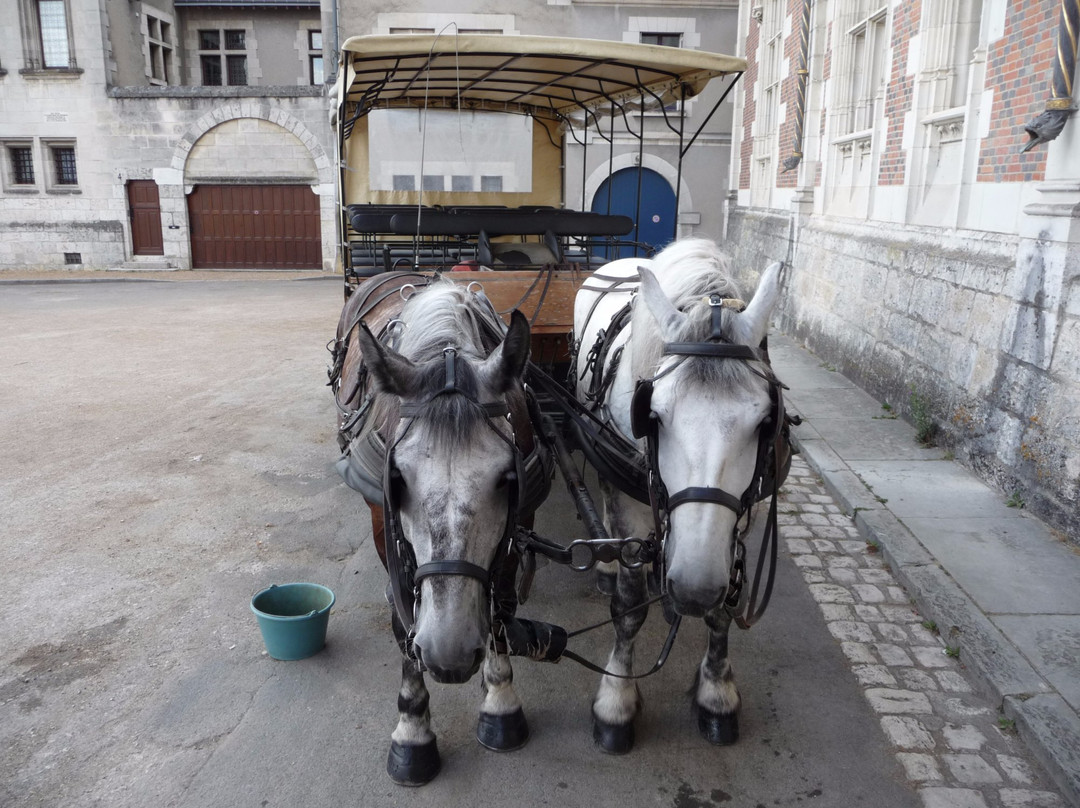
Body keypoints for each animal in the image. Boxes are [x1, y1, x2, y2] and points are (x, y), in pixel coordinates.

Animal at [578, 236, 781, 756]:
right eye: (653, 415)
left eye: (764, 422)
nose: (692, 588)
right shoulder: (629, 504)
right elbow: (628, 609)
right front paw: (616, 702)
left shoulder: (744, 511)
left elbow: (725, 608)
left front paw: (716, 694)